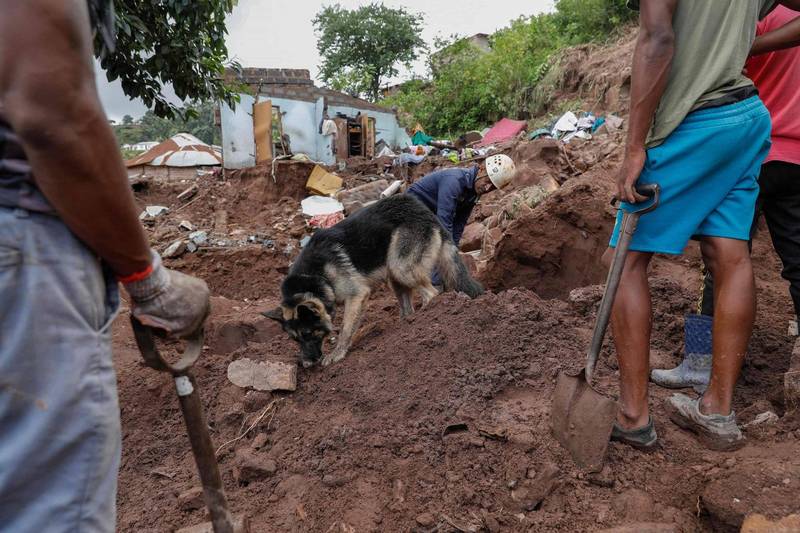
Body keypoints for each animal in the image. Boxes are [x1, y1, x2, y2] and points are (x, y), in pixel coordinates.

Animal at [266, 194, 484, 366]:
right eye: (295, 340)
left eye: (309, 334)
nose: (307, 364)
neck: (312, 277)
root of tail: (423, 210)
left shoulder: (357, 296)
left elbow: (345, 329)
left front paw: (338, 353)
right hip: (394, 275)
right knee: (408, 306)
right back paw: (408, 323)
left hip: (402, 268)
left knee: (432, 293)